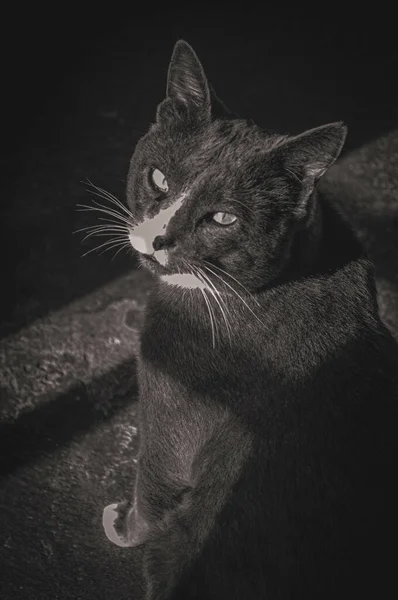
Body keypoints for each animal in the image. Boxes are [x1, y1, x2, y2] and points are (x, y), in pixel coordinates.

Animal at [102, 39, 398, 596]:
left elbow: (155, 479)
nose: (155, 239)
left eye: (223, 218)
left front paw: (120, 525)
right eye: (158, 178)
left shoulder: (172, 396)